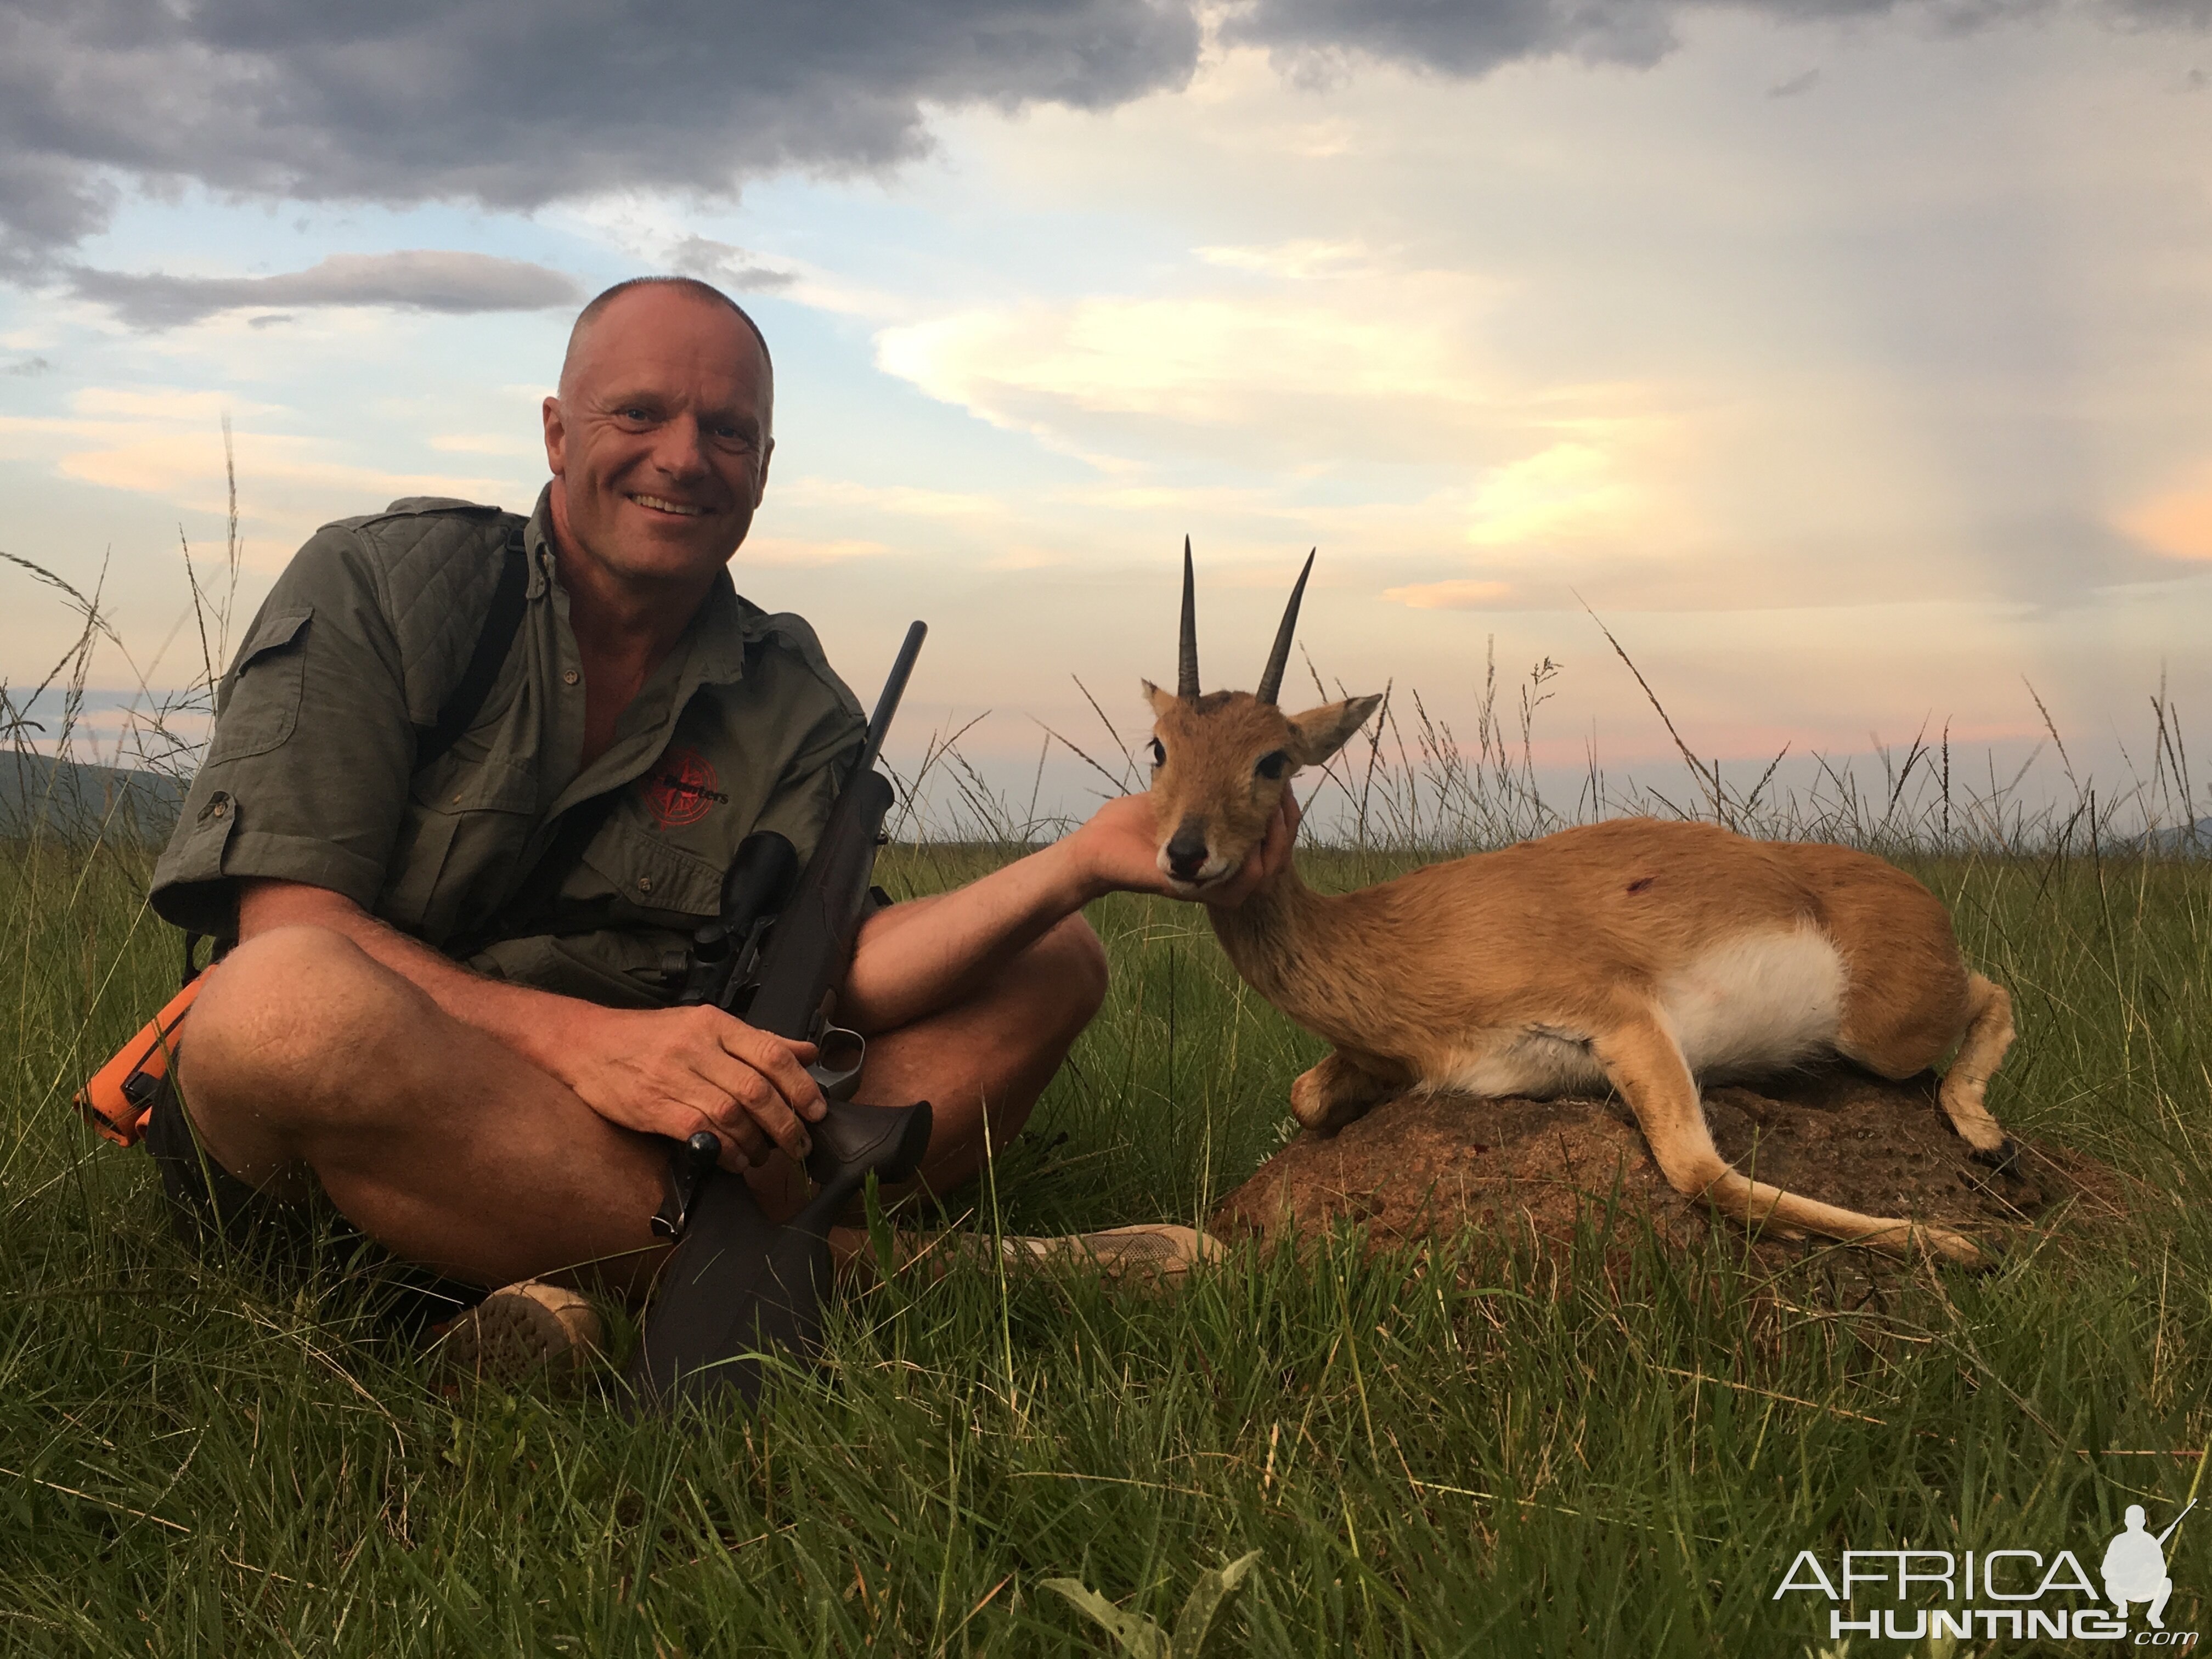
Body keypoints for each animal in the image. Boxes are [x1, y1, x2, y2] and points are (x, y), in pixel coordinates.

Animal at [1150, 553, 2017, 1265]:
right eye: (1160, 746)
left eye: (1273, 758)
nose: (1185, 852)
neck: (1388, 935)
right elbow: (1304, 1097)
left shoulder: (1624, 1019)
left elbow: (1702, 1175)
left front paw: (1954, 1243)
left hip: (1885, 1034)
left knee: (1992, 990)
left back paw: (1985, 1139)